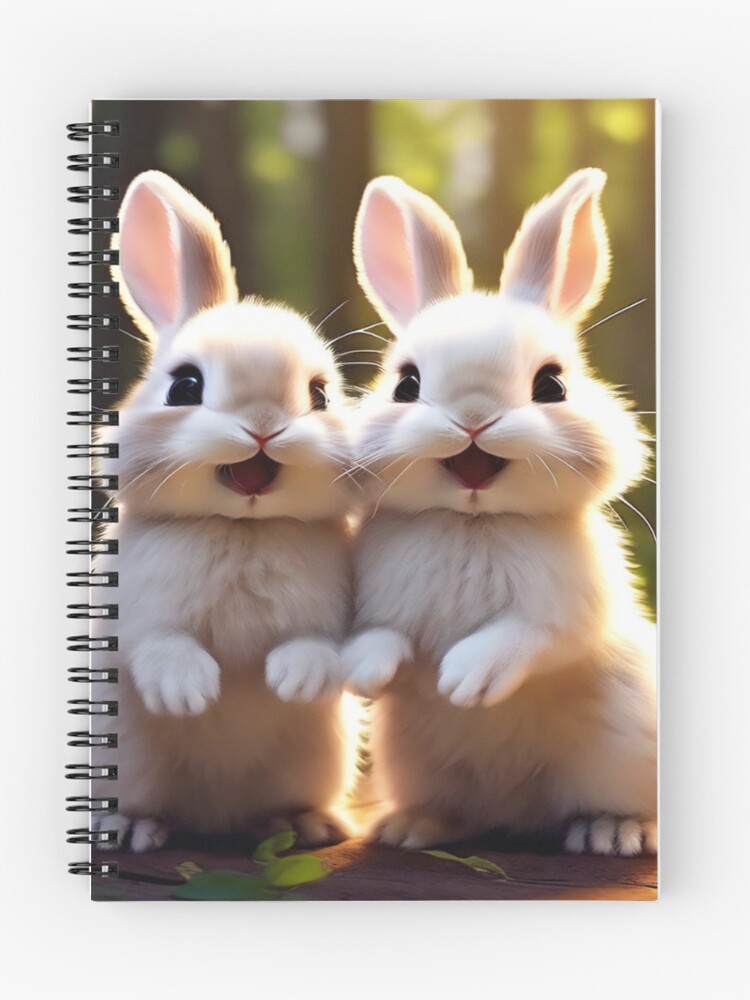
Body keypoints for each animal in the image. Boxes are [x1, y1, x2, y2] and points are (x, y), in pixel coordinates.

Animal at [90, 171, 358, 853]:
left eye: (320, 395)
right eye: (185, 387)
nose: (263, 427)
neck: (242, 527)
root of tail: (213, 820)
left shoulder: (329, 613)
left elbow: (316, 644)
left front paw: (293, 680)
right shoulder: (139, 613)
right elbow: (161, 645)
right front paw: (191, 692)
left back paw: (302, 824)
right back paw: (130, 829)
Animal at [342, 169, 657, 856]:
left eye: (552, 385)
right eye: (406, 384)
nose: (473, 419)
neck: (474, 522)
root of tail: (520, 815)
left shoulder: (564, 609)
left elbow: (526, 637)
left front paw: (464, 680)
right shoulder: (376, 601)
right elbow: (380, 634)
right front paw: (365, 672)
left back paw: (611, 832)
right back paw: (411, 828)